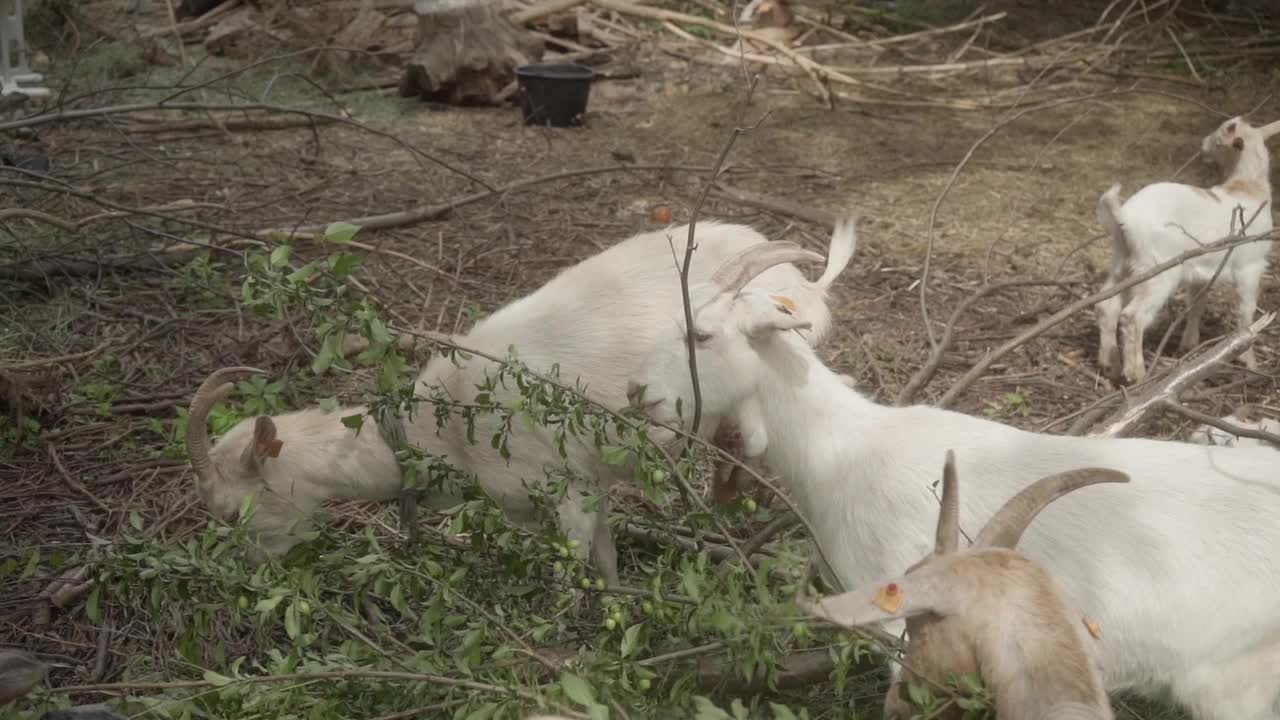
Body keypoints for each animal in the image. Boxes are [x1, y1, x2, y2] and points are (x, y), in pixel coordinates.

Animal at [185, 215, 855, 579]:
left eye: (229, 512)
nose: (255, 572)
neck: (439, 427)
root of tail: (804, 283)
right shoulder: (568, 491)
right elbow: (607, 559)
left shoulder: (563, 487)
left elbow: (575, 566)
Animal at [1095, 113, 1274, 381]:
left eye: (1218, 139)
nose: (1202, 145)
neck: (1248, 189)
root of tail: (1124, 217)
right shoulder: (1250, 267)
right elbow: (1246, 312)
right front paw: (1249, 362)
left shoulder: (1201, 272)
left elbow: (1197, 305)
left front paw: (1188, 346)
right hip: (1158, 270)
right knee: (1132, 317)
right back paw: (1137, 373)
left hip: (1123, 262)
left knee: (1107, 306)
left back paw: (1109, 366)